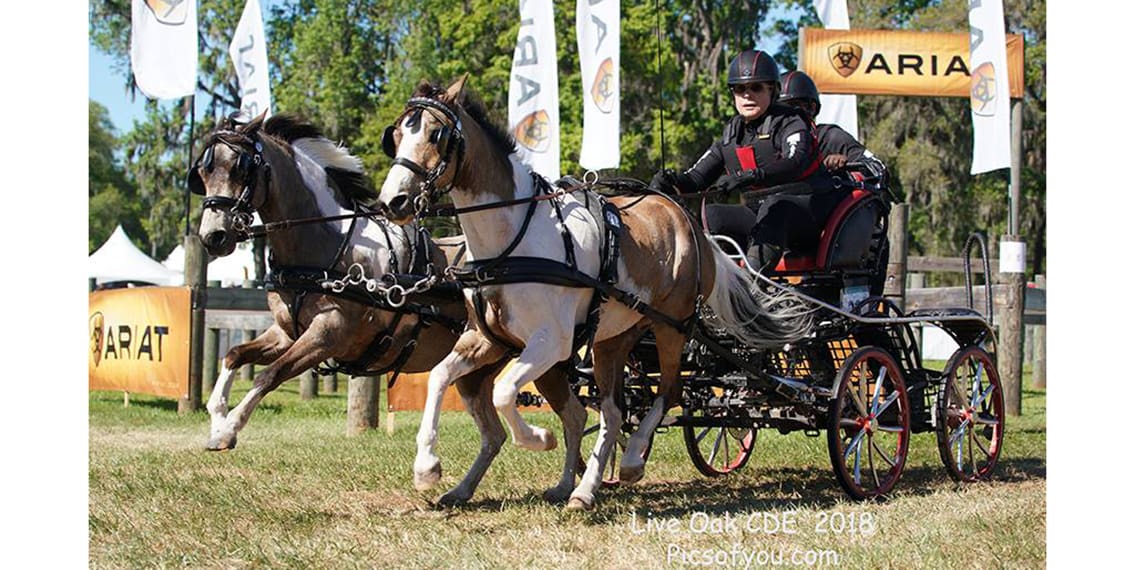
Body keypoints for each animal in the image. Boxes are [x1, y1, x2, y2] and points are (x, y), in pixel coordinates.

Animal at [190, 113, 587, 504]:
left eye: (241, 167)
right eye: (204, 172)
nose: (213, 236)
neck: (326, 248)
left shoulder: (327, 335)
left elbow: (269, 375)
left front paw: (228, 429)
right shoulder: (286, 333)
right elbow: (235, 355)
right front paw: (217, 418)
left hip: (547, 357)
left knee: (573, 414)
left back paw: (575, 480)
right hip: (481, 365)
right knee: (501, 430)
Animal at [376, 77, 813, 510]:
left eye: (436, 134)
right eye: (395, 136)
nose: (392, 202)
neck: (512, 241)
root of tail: (688, 222)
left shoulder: (551, 342)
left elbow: (503, 392)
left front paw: (538, 438)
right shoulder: (486, 338)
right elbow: (439, 376)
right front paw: (427, 467)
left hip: (672, 327)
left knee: (667, 392)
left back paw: (631, 460)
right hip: (613, 338)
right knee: (613, 411)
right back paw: (583, 489)